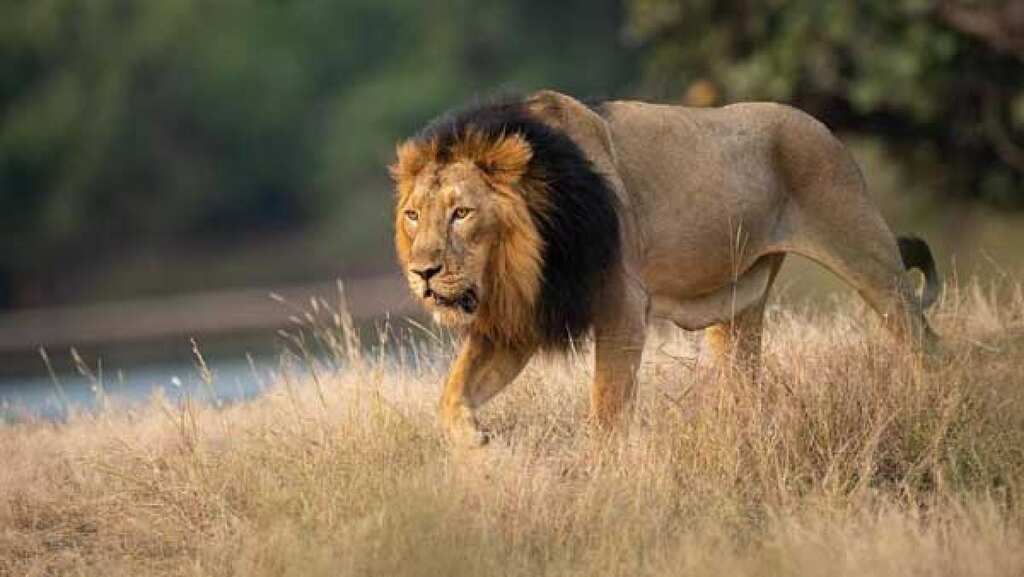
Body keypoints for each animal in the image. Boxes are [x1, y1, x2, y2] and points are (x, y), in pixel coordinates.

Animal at [391, 90, 939, 445]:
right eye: (413, 215)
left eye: (462, 213)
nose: (423, 272)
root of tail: (822, 126)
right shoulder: (520, 321)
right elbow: (451, 394)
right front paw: (475, 444)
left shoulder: (622, 308)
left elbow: (608, 408)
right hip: (740, 306)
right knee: (745, 382)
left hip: (868, 256)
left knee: (926, 343)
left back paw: (933, 407)